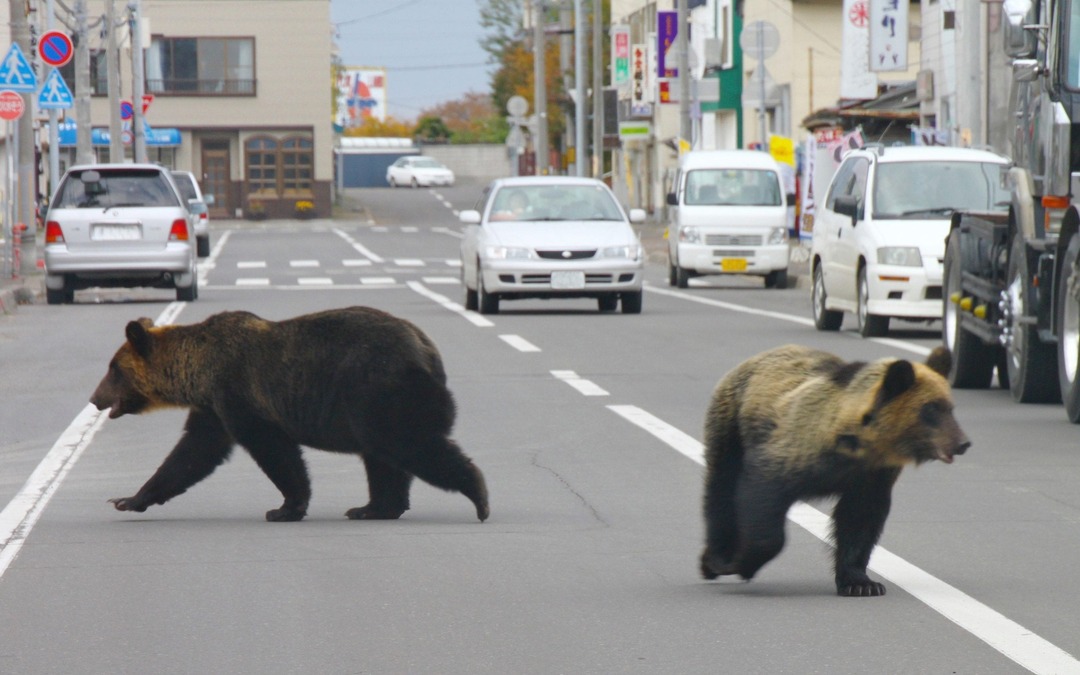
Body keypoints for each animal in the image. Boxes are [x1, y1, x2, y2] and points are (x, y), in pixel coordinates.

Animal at [89, 306, 489, 523]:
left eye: (113, 370)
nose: (94, 398)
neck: (198, 372)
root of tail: (427, 350)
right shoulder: (213, 408)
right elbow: (191, 454)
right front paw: (128, 499)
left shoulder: (238, 394)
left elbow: (274, 451)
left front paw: (284, 507)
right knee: (382, 458)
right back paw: (372, 507)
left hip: (379, 391)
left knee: (408, 445)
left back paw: (479, 496)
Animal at [699, 344, 969, 597]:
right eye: (931, 408)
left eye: (950, 407)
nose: (963, 443)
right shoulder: (793, 450)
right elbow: (762, 495)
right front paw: (743, 563)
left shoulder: (871, 477)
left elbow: (859, 520)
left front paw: (861, 583)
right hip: (731, 424)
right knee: (721, 486)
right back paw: (715, 559)